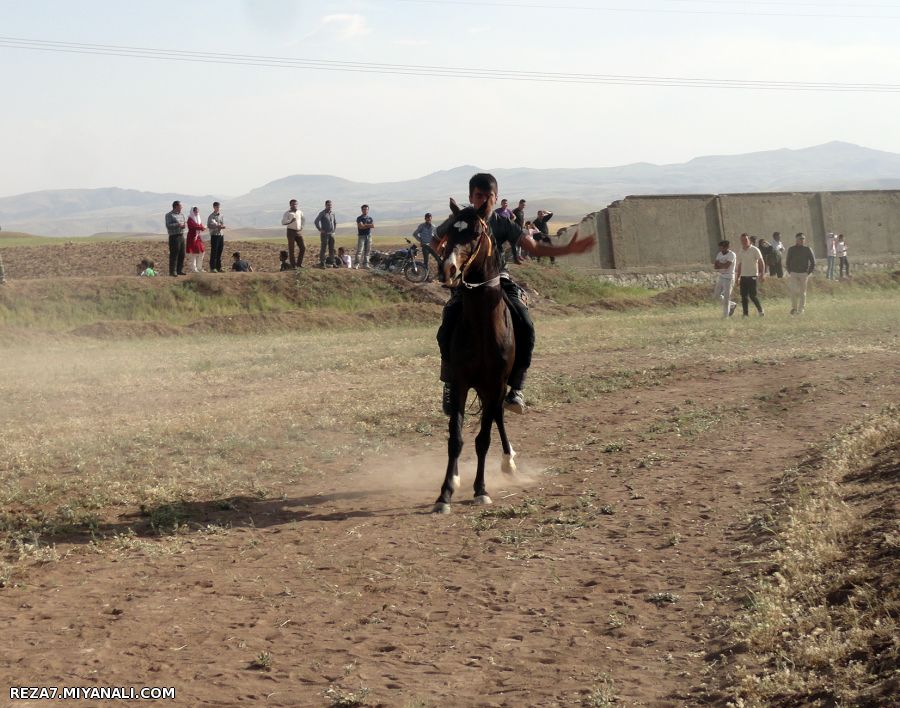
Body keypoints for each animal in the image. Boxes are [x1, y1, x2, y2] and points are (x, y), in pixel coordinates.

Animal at [432, 201, 516, 516]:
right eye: (449, 231)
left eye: (476, 233)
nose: (448, 268)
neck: (482, 327)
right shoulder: (460, 383)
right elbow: (455, 439)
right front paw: (445, 493)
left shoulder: (495, 384)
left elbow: (483, 439)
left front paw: (481, 490)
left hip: (497, 388)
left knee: (499, 416)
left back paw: (509, 461)